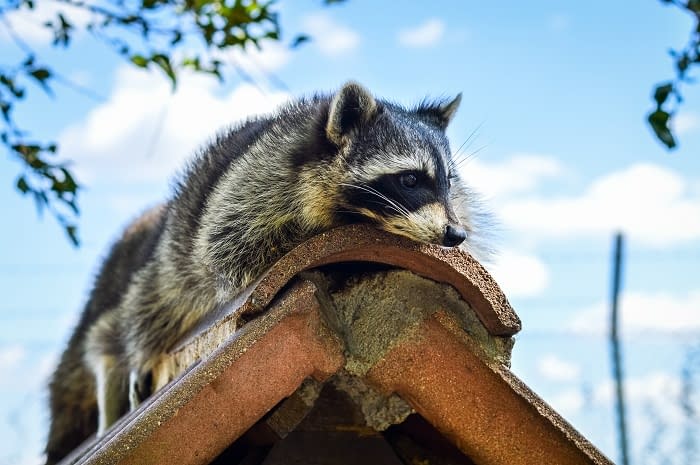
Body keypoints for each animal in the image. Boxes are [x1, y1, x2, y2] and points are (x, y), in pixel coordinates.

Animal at [43, 81, 484, 462]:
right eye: (410, 179)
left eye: (448, 182)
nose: (455, 234)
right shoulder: (251, 189)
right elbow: (233, 251)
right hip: (174, 251)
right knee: (151, 304)